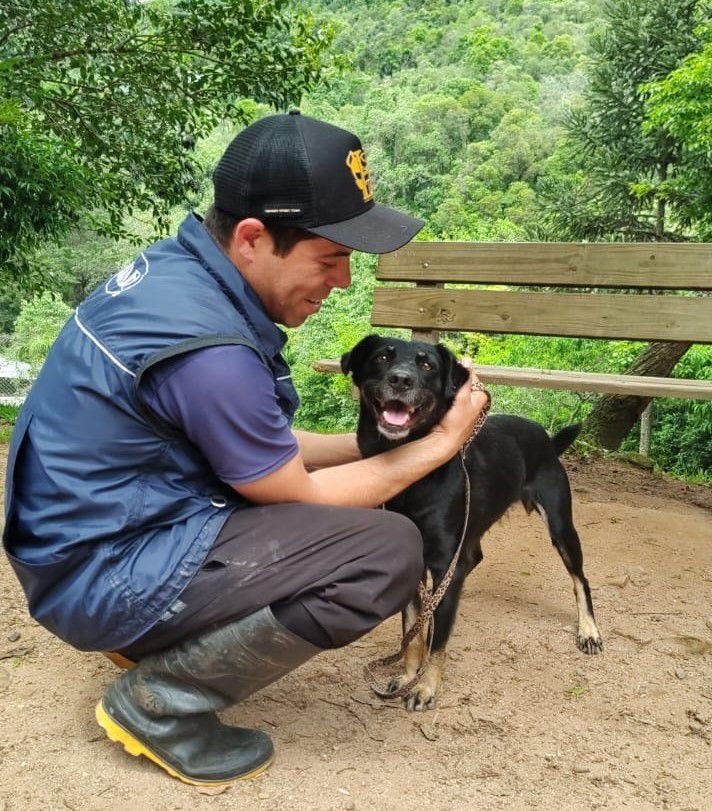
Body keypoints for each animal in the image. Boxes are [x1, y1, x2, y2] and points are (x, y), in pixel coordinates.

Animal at [342, 334, 604, 712]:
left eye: (427, 364)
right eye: (381, 357)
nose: (401, 380)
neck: (409, 468)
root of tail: (546, 438)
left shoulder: (443, 568)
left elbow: (436, 640)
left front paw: (426, 688)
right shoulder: (418, 564)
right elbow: (413, 632)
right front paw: (408, 676)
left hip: (560, 526)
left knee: (580, 579)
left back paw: (589, 631)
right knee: (474, 558)